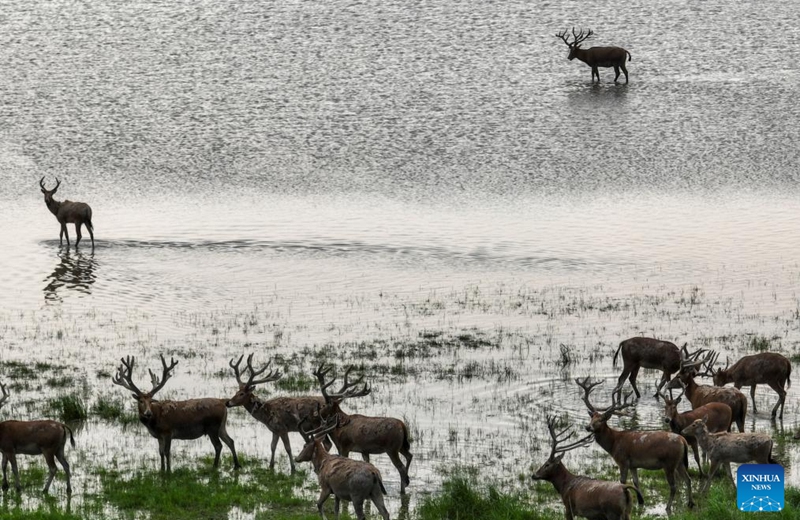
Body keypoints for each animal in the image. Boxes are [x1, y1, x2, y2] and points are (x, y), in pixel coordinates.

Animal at [313, 364, 413, 494]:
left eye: (324, 405)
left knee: (401, 467)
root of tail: (403, 425)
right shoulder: (364, 450)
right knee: (409, 456)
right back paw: (407, 481)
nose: (315, 413)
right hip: (401, 446)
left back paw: (402, 489)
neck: (337, 430)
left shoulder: (344, 446)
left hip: (392, 448)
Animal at [576, 377, 694, 513]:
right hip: (679, 462)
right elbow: (636, 482)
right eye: (592, 418)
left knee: (674, 485)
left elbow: (622, 481)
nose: (588, 427)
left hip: (669, 462)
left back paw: (668, 507)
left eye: (601, 420)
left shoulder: (623, 460)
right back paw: (690, 503)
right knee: (688, 479)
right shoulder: (633, 464)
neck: (613, 443)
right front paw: (641, 501)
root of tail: (682, 440)